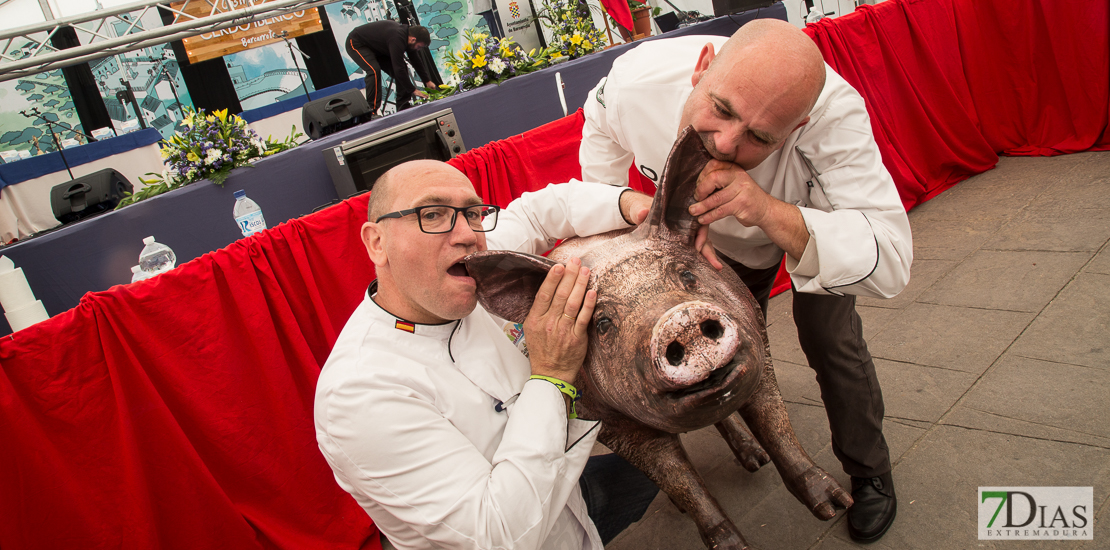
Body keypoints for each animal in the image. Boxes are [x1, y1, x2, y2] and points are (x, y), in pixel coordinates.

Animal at [463, 128, 852, 550]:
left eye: (687, 275)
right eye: (601, 323)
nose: (677, 321)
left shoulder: (757, 341)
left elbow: (775, 423)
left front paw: (836, 507)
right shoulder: (609, 425)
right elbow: (678, 476)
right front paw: (733, 544)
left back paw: (755, 462)